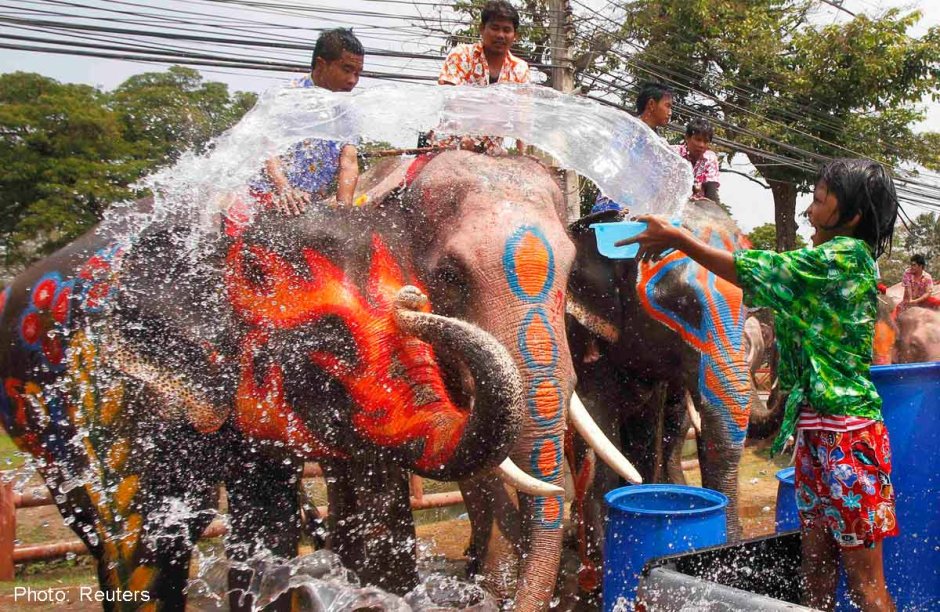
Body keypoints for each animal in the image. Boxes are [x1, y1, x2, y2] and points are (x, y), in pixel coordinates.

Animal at [560, 203, 760, 600]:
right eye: (680, 304)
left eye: (749, 307)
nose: (732, 550)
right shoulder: (583, 339)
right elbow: (600, 430)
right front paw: (599, 575)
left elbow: (645, 432)